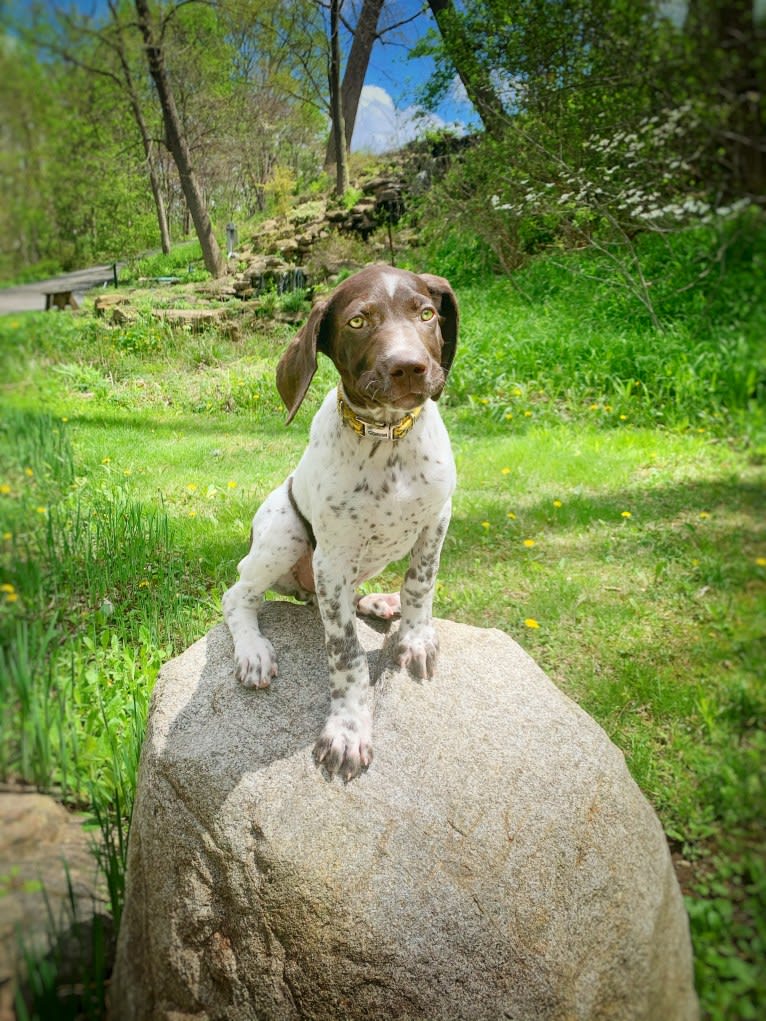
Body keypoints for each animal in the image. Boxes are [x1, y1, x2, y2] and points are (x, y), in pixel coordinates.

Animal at [223, 265, 461, 780]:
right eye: (358, 322)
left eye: (426, 314)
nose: (409, 367)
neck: (387, 438)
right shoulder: (331, 558)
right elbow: (346, 654)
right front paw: (349, 729)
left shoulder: (437, 517)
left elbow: (421, 583)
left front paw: (415, 638)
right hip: (285, 537)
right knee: (239, 595)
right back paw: (253, 651)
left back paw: (377, 602)